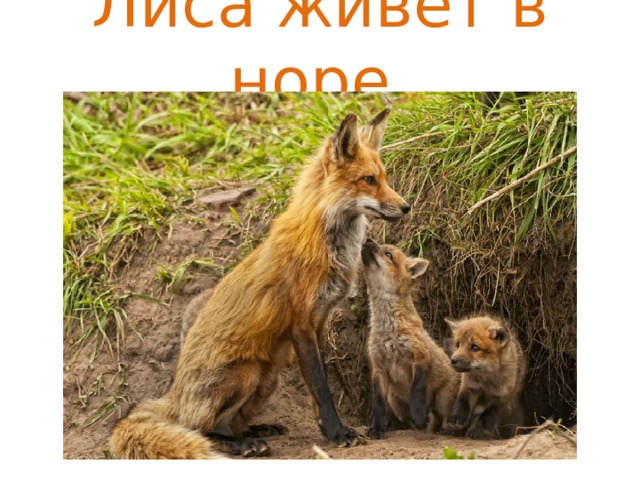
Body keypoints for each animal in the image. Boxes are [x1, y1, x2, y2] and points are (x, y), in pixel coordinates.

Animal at [109, 108, 410, 459]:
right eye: (369, 180)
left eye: (384, 178)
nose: (406, 207)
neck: (327, 243)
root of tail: (175, 394)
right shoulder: (300, 324)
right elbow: (322, 390)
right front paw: (338, 433)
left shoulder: (320, 321)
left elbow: (320, 386)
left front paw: (328, 430)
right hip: (246, 373)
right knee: (198, 429)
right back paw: (242, 444)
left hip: (268, 378)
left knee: (227, 423)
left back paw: (256, 430)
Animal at [361, 240, 460, 439]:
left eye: (388, 255)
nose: (367, 240)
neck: (389, 329)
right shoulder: (378, 367)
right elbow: (378, 404)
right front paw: (377, 428)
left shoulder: (420, 356)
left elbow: (417, 389)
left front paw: (419, 414)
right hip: (395, 401)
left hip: (443, 399)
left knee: (441, 418)